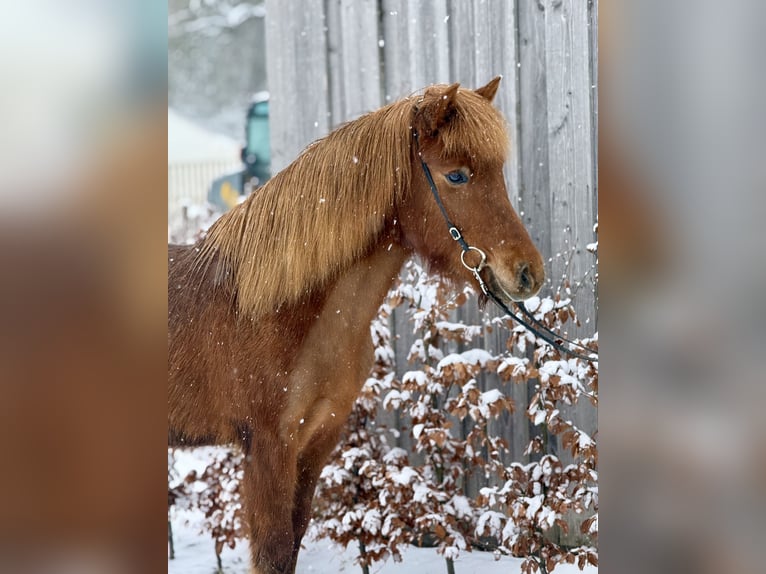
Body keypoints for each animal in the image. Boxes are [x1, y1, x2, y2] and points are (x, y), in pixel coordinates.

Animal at [168, 77, 545, 574]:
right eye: (456, 176)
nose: (528, 273)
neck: (281, 311)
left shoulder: (318, 442)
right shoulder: (268, 452)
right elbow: (272, 553)